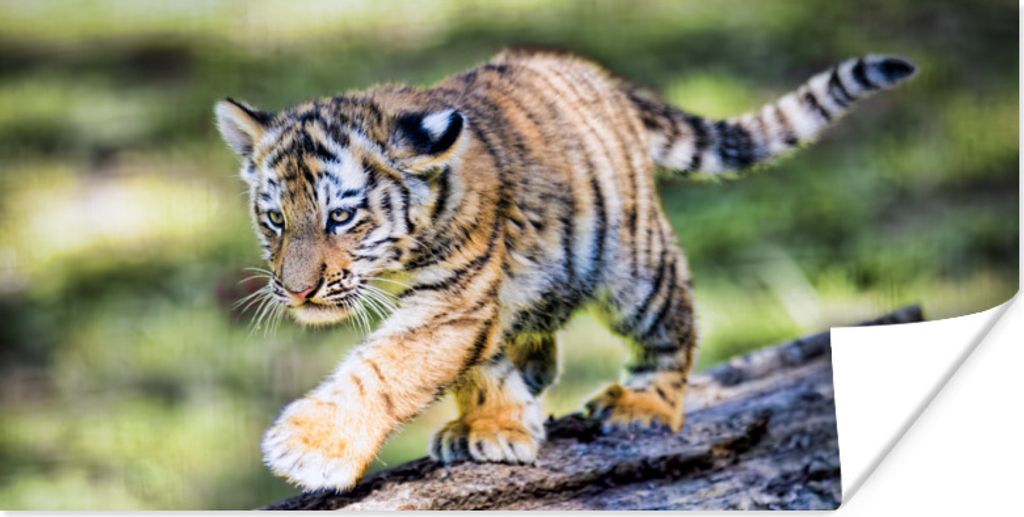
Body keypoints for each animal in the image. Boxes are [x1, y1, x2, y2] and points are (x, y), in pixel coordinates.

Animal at [214, 50, 915, 491]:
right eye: (274, 219)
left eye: (341, 217)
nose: (297, 290)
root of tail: (596, 74)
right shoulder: (478, 301)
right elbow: (476, 367)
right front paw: (492, 426)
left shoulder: (453, 297)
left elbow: (386, 368)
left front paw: (309, 448)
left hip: (635, 268)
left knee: (675, 329)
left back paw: (643, 405)